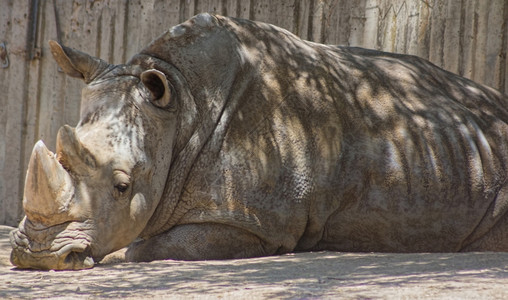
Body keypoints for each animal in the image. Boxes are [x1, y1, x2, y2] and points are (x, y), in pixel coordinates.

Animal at [9, 12, 508, 270]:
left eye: (122, 186)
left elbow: (146, 247)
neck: (181, 105)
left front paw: (111, 257)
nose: (37, 256)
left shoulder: (251, 222)